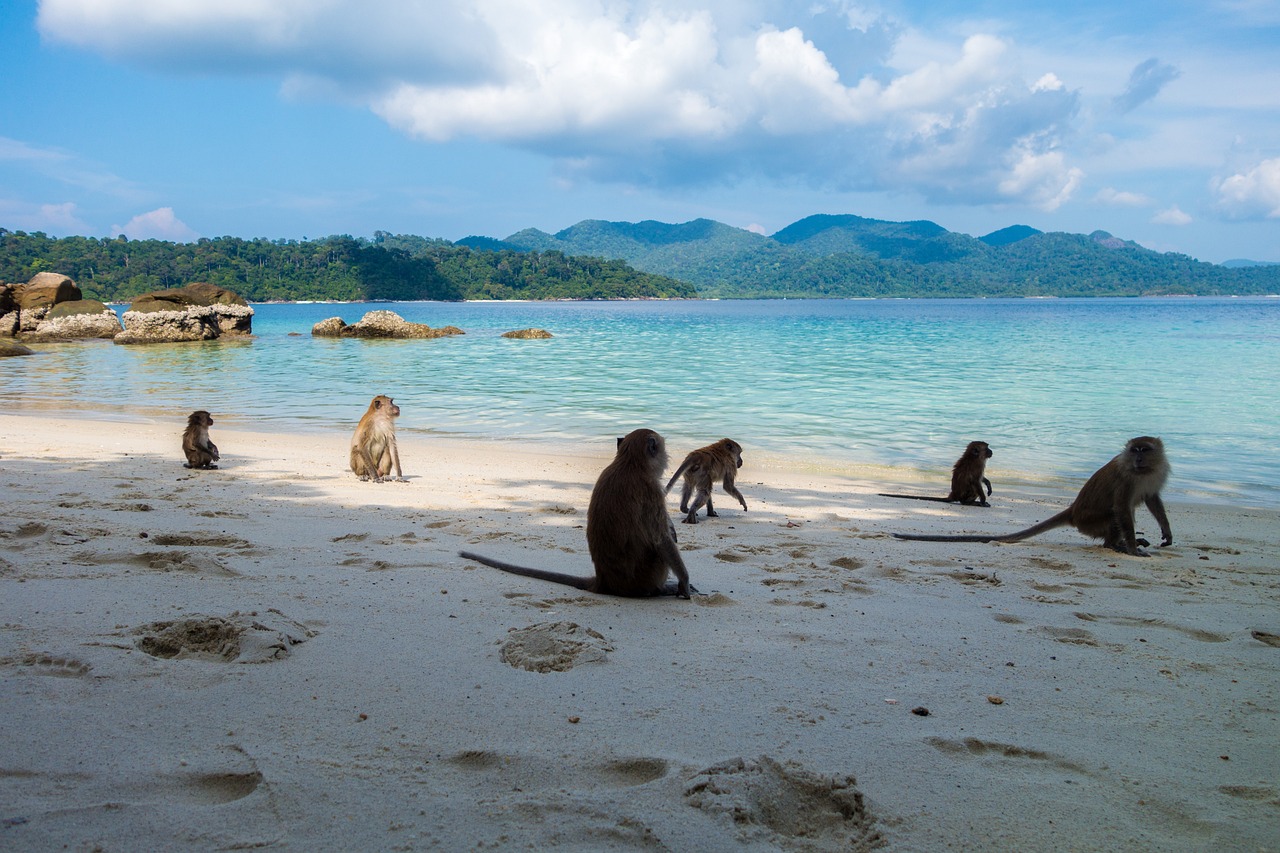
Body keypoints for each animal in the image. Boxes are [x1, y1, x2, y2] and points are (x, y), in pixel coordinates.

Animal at [465, 425, 696, 596]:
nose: (667, 456)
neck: (629, 463)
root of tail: (605, 582)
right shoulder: (651, 490)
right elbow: (661, 539)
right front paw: (684, 582)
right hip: (646, 575)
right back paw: (661, 589)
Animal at [890, 435, 1172, 555]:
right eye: (1135, 450)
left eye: (1145, 450)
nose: (1137, 459)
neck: (1142, 471)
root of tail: (1073, 511)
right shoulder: (1127, 479)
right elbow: (1122, 507)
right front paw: (1133, 548)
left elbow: (1152, 500)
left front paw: (1166, 533)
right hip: (1092, 522)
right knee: (1116, 514)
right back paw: (1117, 544)